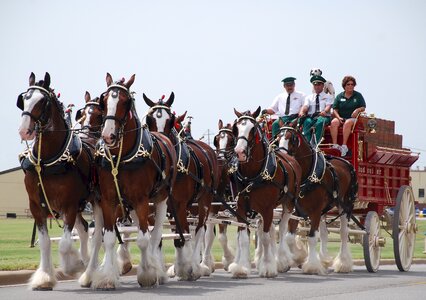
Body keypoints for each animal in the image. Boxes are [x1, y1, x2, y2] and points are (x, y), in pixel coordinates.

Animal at [17, 71, 93, 290]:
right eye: (24, 99)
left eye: (42, 101)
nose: (24, 130)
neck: (47, 161)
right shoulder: (36, 206)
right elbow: (44, 242)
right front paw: (44, 277)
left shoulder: (69, 205)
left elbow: (65, 243)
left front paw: (73, 265)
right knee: (84, 229)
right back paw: (87, 268)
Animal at [79, 74, 177, 290]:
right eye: (105, 101)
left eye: (126, 102)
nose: (108, 135)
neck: (121, 157)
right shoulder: (108, 200)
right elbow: (107, 238)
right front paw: (107, 277)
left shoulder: (141, 200)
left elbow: (143, 239)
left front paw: (147, 274)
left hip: (160, 200)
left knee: (156, 235)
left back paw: (157, 269)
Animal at [143, 92, 220, 280]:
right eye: (149, 119)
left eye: (170, 120)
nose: (160, 141)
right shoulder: (156, 206)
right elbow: (160, 237)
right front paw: (165, 270)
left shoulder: (180, 205)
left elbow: (182, 236)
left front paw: (186, 268)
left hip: (204, 202)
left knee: (199, 231)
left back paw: (197, 266)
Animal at [230, 106, 302, 278]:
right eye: (236, 128)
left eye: (253, 129)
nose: (240, 152)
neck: (251, 175)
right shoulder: (241, 208)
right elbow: (244, 238)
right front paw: (241, 267)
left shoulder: (268, 209)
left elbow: (266, 238)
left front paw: (269, 267)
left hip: (288, 204)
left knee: (281, 230)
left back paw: (281, 260)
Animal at [278, 122, 358, 274]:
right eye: (277, 137)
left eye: (292, 138)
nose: (282, 158)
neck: (308, 174)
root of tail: (347, 163)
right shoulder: (296, 210)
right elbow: (290, 237)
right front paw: (298, 257)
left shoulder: (314, 211)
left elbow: (312, 238)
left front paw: (312, 266)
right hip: (324, 210)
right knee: (325, 233)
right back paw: (325, 260)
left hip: (345, 205)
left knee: (343, 233)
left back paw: (343, 263)